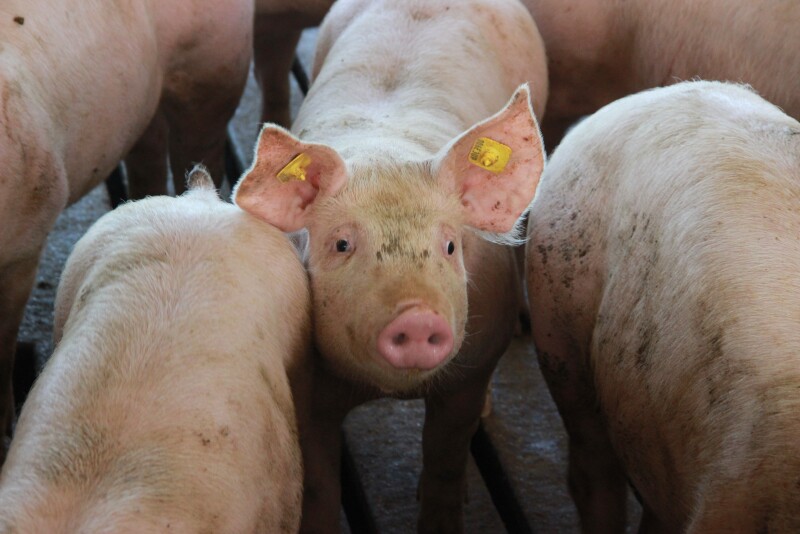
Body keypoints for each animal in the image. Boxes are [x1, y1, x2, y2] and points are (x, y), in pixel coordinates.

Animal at [233, 0, 548, 531]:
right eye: (342, 244)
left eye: (450, 246)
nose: (417, 317)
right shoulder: (307, 391)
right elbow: (319, 485)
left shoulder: (469, 370)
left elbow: (445, 463)